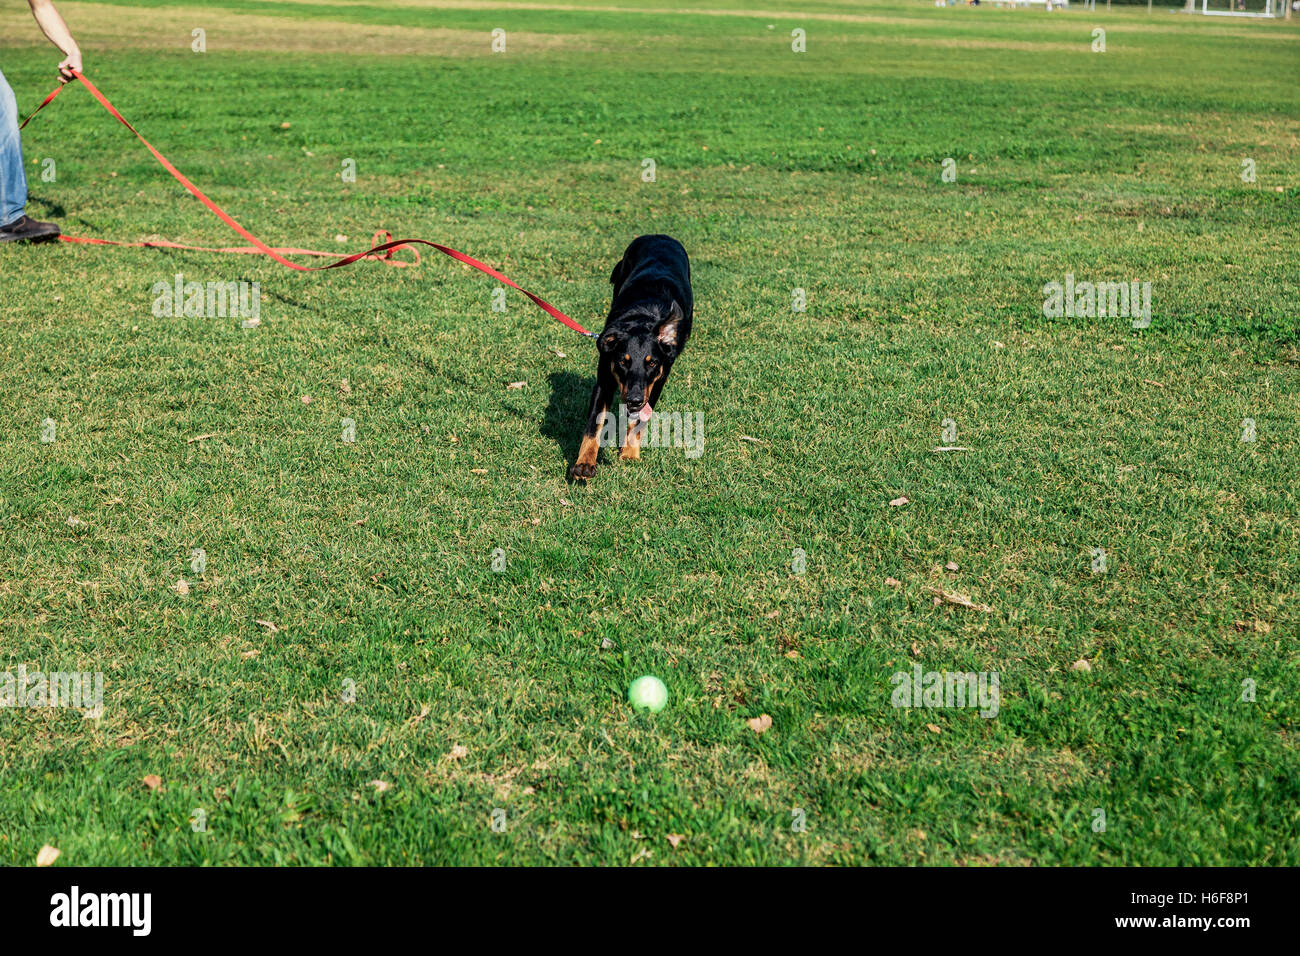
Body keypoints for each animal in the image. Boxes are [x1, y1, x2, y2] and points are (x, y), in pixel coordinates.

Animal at [569, 235, 691, 481]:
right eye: (623, 362)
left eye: (652, 363)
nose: (634, 400)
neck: (644, 319)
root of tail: (658, 235)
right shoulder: (605, 379)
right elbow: (594, 424)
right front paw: (585, 463)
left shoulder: (656, 382)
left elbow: (640, 420)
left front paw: (630, 453)